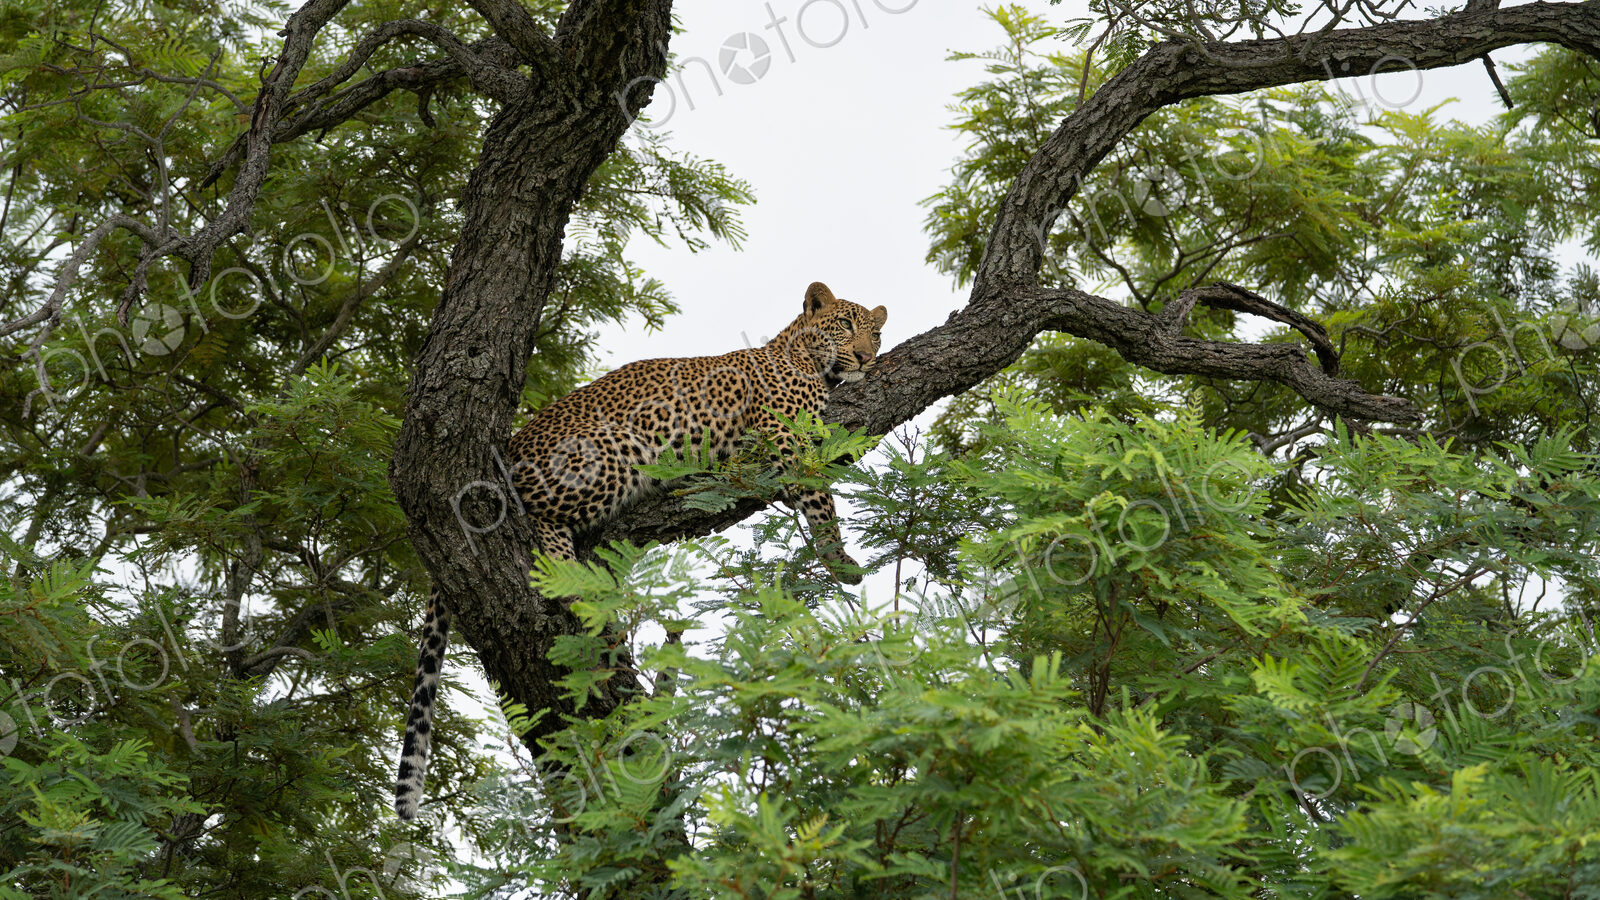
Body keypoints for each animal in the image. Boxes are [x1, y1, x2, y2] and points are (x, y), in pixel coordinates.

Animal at [394, 281, 887, 820]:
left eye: (877, 333)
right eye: (845, 325)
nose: (867, 356)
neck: (800, 355)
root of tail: (510, 446)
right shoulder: (786, 435)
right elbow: (820, 497)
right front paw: (841, 560)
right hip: (609, 453)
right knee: (536, 517)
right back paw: (570, 577)